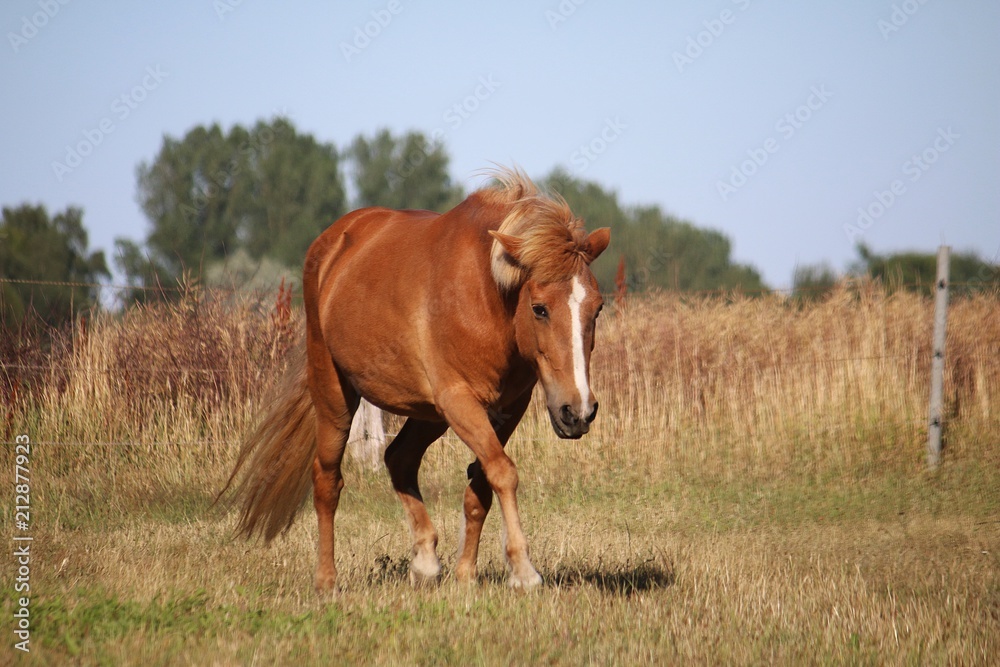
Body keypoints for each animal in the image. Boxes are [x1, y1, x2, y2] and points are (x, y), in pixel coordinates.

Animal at [220, 167, 610, 591]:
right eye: (539, 308)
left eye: (597, 308)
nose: (578, 411)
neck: (485, 295)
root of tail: (331, 243)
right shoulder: (458, 399)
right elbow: (504, 473)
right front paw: (523, 570)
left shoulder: (508, 408)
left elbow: (481, 484)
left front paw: (465, 575)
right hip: (335, 394)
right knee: (327, 481)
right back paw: (327, 580)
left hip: (428, 414)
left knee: (399, 458)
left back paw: (424, 562)